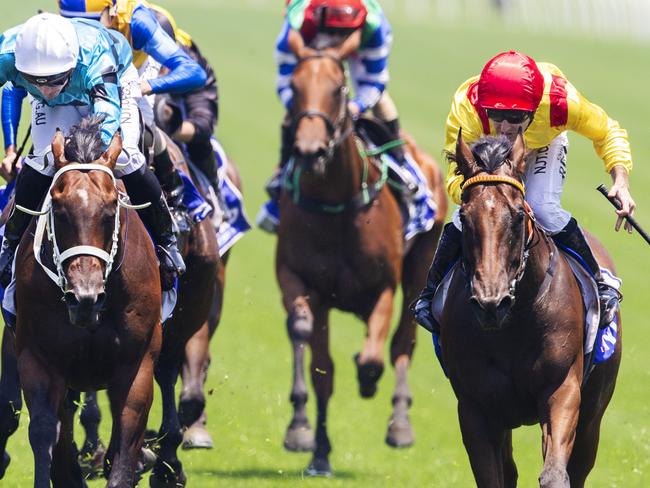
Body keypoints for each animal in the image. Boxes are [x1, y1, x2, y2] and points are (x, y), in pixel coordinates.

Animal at [13, 123, 162, 488]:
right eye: (59, 211)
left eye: (110, 213)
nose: (85, 297)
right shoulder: (38, 359)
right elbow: (45, 433)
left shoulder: (137, 367)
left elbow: (126, 443)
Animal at [276, 54, 448, 476]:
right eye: (294, 85)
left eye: (339, 88)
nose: (310, 150)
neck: (337, 203)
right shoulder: (299, 279)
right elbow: (315, 358)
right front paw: (306, 436)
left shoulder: (384, 285)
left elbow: (373, 357)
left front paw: (368, 379)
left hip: (422, 263)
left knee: (403, 341)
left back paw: (399, 423)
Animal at [442, 130, 620, 488]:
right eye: (465, 218)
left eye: (518, 215)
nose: (491, 303)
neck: (514, 324)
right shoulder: (475, 407)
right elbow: (493, 476)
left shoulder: (563, 390)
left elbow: (555, 474)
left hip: (593, 415)